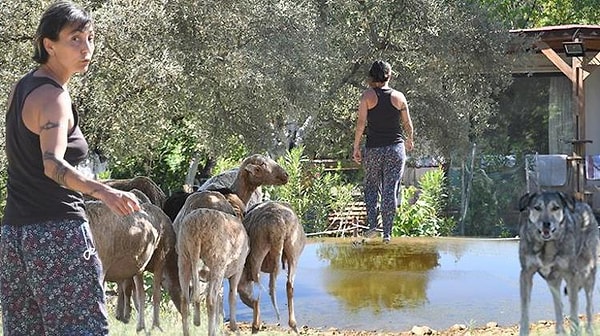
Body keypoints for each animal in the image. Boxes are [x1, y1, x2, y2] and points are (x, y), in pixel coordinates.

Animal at [85, 188, 173, 332]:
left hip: (159, 257)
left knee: (154, 293)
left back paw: (153, 326)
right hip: (139, 266)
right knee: (140, 293)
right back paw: (139, 325)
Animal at [175, 207, 250, 336]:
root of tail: (197, 228)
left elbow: (220, 298)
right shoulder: (238, 271)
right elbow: (232, 296)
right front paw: (234, 327)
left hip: (184, 257)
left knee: (185, 300)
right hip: (217, 261)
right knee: (210, 300)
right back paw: (211, 332)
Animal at [238, 200, 308, 334]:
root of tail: (279, 223)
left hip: (258, 250)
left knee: (258, 289)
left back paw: (255, 326)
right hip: (293, 250)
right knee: (289, 285)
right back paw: (293, 325)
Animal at [516, 190, 596, 334]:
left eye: (555, 208)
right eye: (537, 207)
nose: (546, 223)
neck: (546, 246)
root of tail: (585, 205)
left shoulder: (571, 275)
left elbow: (574, 309)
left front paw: (575, 332)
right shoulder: (526, 274)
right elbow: (524, 309)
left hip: (588, 273)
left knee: (589, 305)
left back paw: (589, 330)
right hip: (553, 280)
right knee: (559, 305)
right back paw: (560, 331)